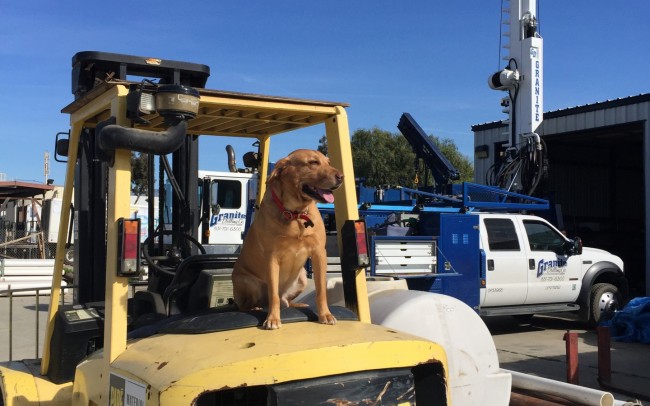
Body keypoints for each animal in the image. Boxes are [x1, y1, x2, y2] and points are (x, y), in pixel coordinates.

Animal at [233, 149, 344, 330]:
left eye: (328, 162)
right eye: (313, 162)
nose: (342, 176)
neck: (295, 214)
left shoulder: (319, 253)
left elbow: (321, 291)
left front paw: (325, 315)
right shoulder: (271, 257)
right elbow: (273, 295)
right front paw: (272, 319)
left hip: (302, 278)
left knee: (285, 301)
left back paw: (297, 304)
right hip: (248, 282)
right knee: (247, 304)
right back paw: (255, 307)